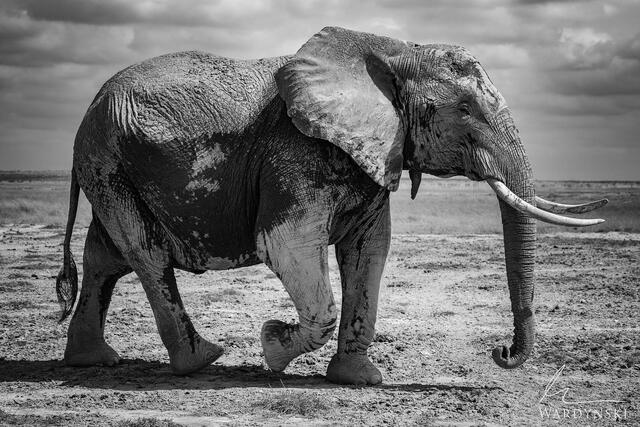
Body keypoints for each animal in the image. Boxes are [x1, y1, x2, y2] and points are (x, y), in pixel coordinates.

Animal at [57, 26, 607, 385]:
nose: (502, 351)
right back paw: (203, 360)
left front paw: (358, 379)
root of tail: (88, 108)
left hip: (111, 166)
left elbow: (368, 252)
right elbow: (287, 246)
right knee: (146, 253)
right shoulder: (295, 154)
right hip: (107, 161)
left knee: (107, 256)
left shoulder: (376, 155)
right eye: (466, 110)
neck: (397, 51)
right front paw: (272, 346)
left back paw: (93, 361)